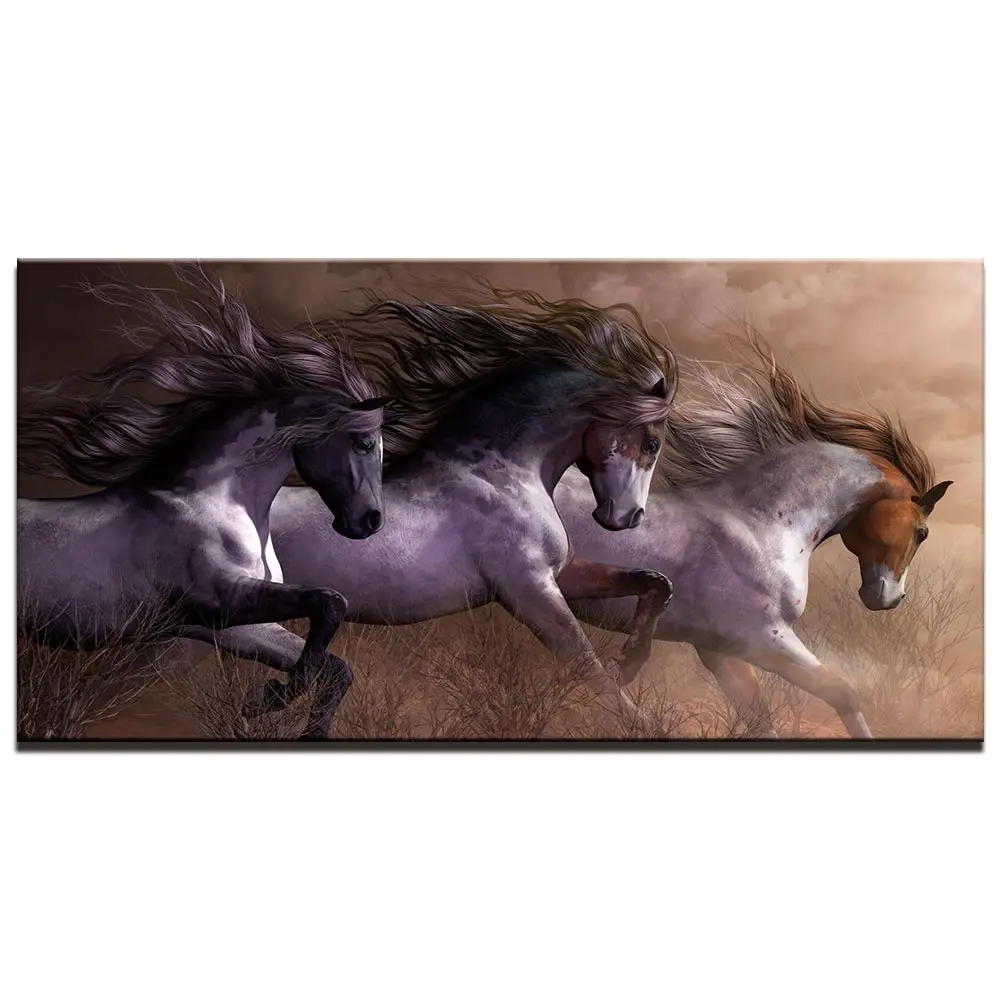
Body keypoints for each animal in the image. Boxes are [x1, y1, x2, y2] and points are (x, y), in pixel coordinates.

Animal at [17, 269, 392, 738]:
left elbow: (337, 668)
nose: (371, 521)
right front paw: (268, 699)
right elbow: (330, 603)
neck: (219, 503)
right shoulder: (221, 599)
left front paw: (284, 711)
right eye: (364, 443)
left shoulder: (228, 626)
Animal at [195, 289, 680, 727]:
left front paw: (631, 660)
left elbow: (656, 581)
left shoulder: (560, 574)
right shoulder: (529, 589)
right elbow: (587, 666)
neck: (500, 473)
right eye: (652, 443)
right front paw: (638, 710)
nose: (628, 517)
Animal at [556, 333, 953, 739]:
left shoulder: (721, 650)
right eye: (922, 532)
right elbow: (841, 692)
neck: (761, 525)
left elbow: (760, 718)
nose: (890, 598)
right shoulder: (763, 637)